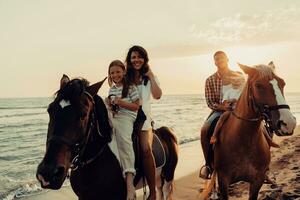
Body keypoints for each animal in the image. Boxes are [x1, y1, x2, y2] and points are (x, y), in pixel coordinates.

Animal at [200, 61, 296, 199]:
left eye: (282, 83)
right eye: (258, 85)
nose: (288, 123)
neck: (244, 141)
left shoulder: (257, 180)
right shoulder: (223, 180)